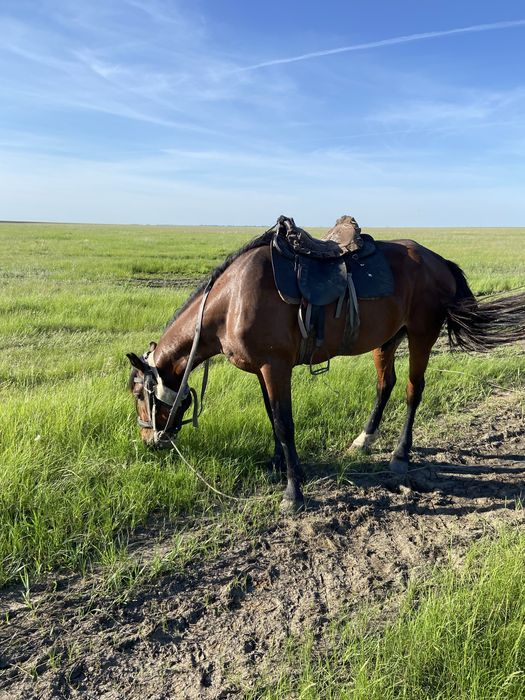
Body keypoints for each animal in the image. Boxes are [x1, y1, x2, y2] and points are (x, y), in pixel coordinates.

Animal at [127, 219, 525, 512]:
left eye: (138, 395)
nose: (149, 441)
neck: (231, 300)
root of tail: (439, 261)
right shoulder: (263, 370)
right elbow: (272, 416)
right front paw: (279, 465)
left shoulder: (275, 367)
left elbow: (284, 423)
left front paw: (293, 492)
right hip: (388, 338)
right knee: (386, 384)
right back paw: (364, 439)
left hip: (422, 334)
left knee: (414, 389)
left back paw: (400, 455)